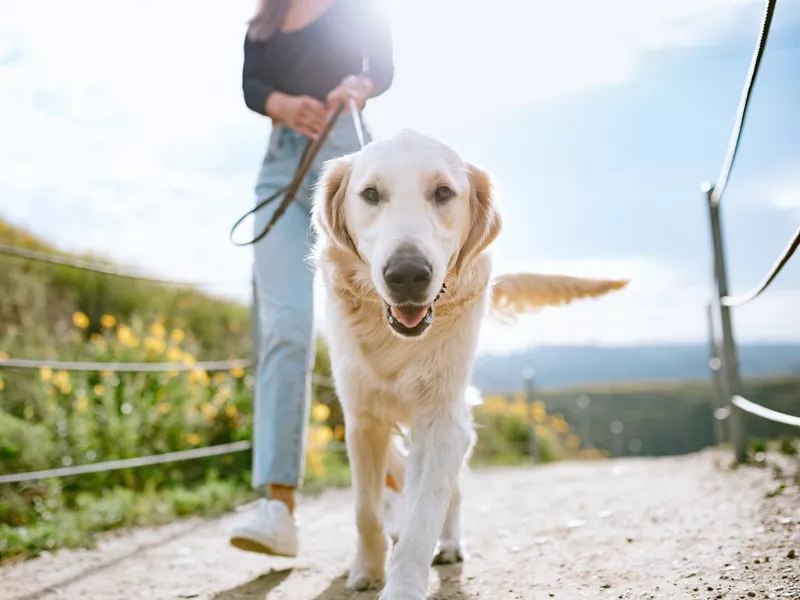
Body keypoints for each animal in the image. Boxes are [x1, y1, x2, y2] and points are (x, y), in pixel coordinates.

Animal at [310, 129, 628, 596]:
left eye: (443, 192)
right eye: (370, 194)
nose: (407, 275)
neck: (395, 341)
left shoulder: (442, 420)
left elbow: (424, 512)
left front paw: (403, 585)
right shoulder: (362, 419)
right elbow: (364, 508)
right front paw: (367, 569)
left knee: (451, 493)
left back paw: (449, 544)